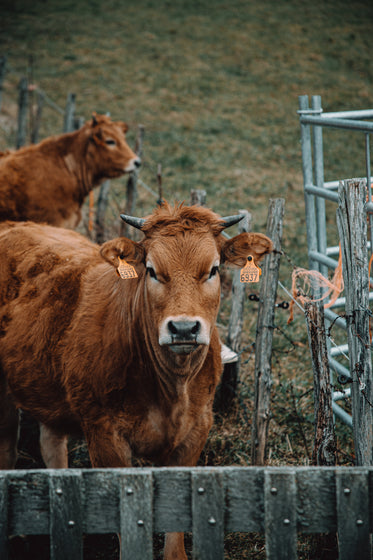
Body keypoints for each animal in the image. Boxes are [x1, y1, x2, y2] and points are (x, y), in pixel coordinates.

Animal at [0, 202, 274, 560]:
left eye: (213, 269)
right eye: (152, 270)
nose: (183, 328)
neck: (172, 390)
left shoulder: (197, 429)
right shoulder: (104, 436)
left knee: (52, 445)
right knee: (8, 447)